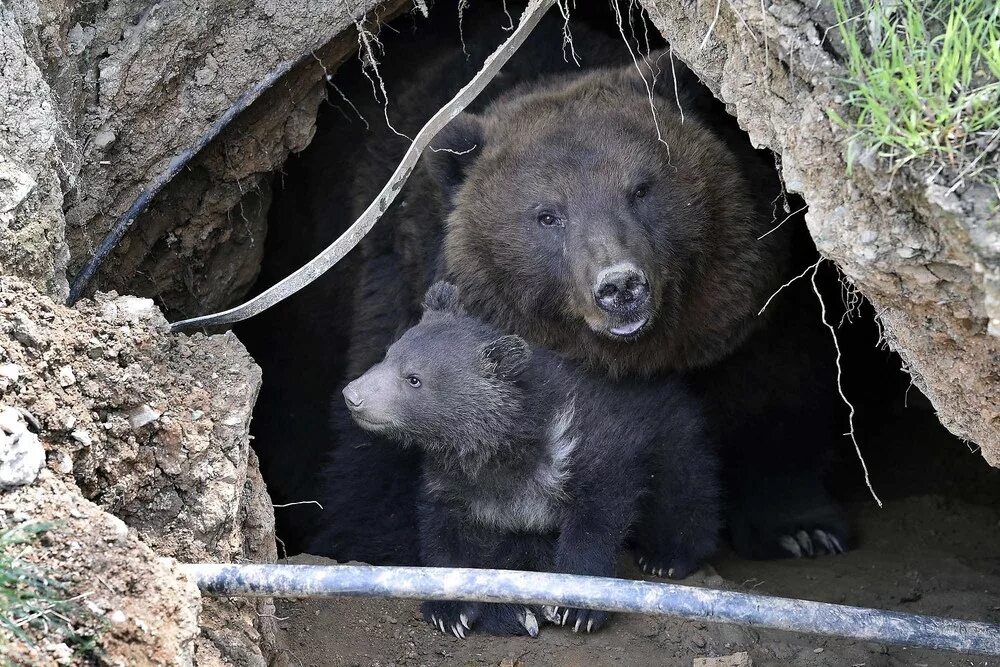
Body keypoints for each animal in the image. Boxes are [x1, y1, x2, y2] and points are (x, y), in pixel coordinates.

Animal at [310, 54, 844, 564]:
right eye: (548, 215)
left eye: (641, 189)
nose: (620, 286)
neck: (636, 355)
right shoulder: (403, 282)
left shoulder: (742, 320)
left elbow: (775, 396)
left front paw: (802, 528)